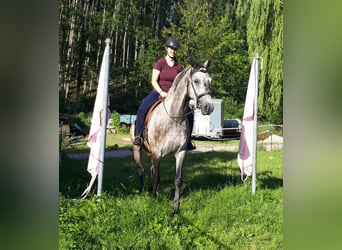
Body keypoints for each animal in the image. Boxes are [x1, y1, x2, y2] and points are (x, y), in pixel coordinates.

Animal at [131, 57, 214, 214]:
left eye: (209, 80)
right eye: (196, 81)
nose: (209, 107)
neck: (174, 117)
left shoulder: (180, 152)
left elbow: (177, 180)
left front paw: (176, 208)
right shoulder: (157, 153)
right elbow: (155, 178)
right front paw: (153, 201)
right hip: (137, 150)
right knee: (141, 170)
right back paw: (142, 191)